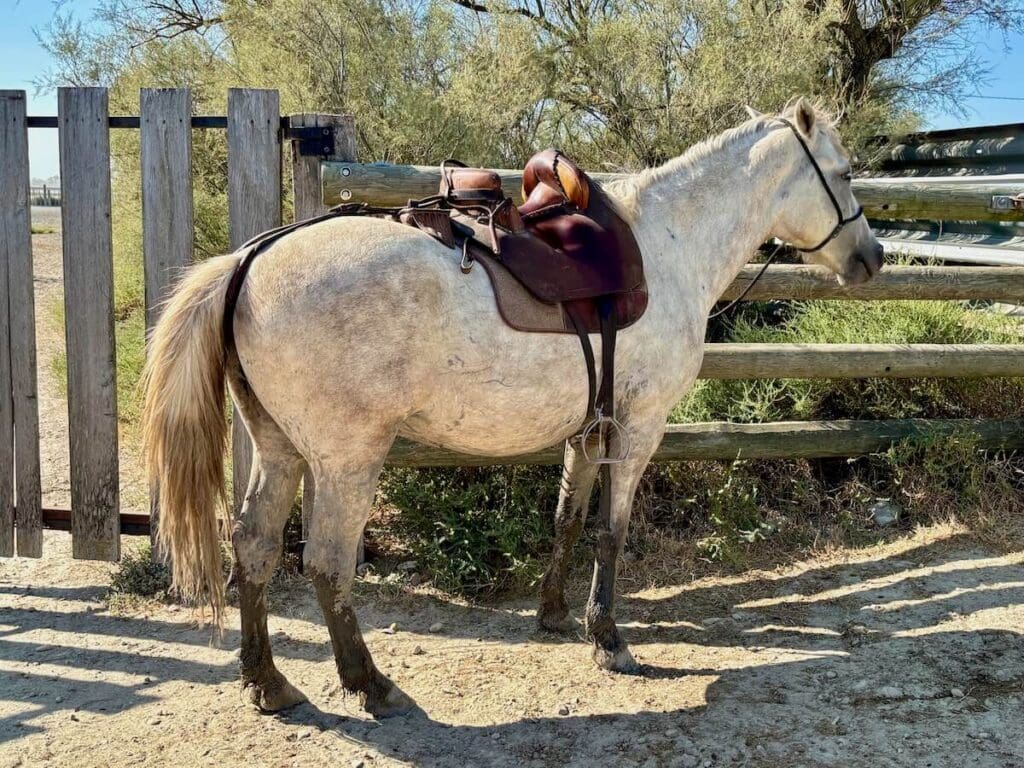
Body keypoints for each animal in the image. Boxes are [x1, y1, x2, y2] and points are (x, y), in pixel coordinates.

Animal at [142, 98, 883, 717]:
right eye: (844, 175)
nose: (872, 257)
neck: (670, 243)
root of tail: (251, 257)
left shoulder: (587, 430)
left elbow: (566, 520)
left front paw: (554, 614)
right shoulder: (638, 428)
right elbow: (612, 531)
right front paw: (608, 639)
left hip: (279, 448)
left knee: (254, 546)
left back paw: (268, 682)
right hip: (346, 459)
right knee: (326, 562)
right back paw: (369, 684)